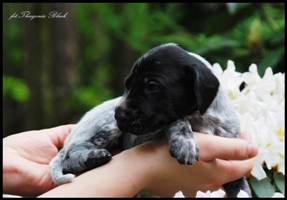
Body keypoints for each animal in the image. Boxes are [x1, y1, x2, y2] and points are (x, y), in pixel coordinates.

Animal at [50, 43, 252, 198]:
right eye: (128, 85)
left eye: (152, 86)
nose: (119, 115)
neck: (203, 119)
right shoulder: (144, 135)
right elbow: (177, 121)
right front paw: (185, 142)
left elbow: (242, 188)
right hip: (104, 126)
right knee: (69, 156)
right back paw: (93, 157)